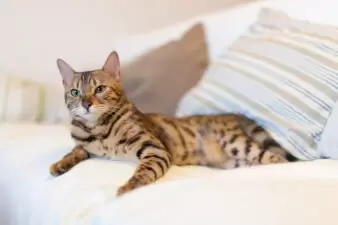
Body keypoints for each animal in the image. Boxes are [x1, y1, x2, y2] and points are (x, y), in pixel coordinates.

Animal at [48, 50, 298, 196]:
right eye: (75, 92)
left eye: (100, 89)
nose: (86, 103)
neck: (98, 129)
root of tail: (232, 114)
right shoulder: (85, 144)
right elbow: (76, 150)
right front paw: (59, 164)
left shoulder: (155, 149)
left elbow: (143, 172)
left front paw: (128, 187)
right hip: (235, 160)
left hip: (239, 144)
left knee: (278, 158)